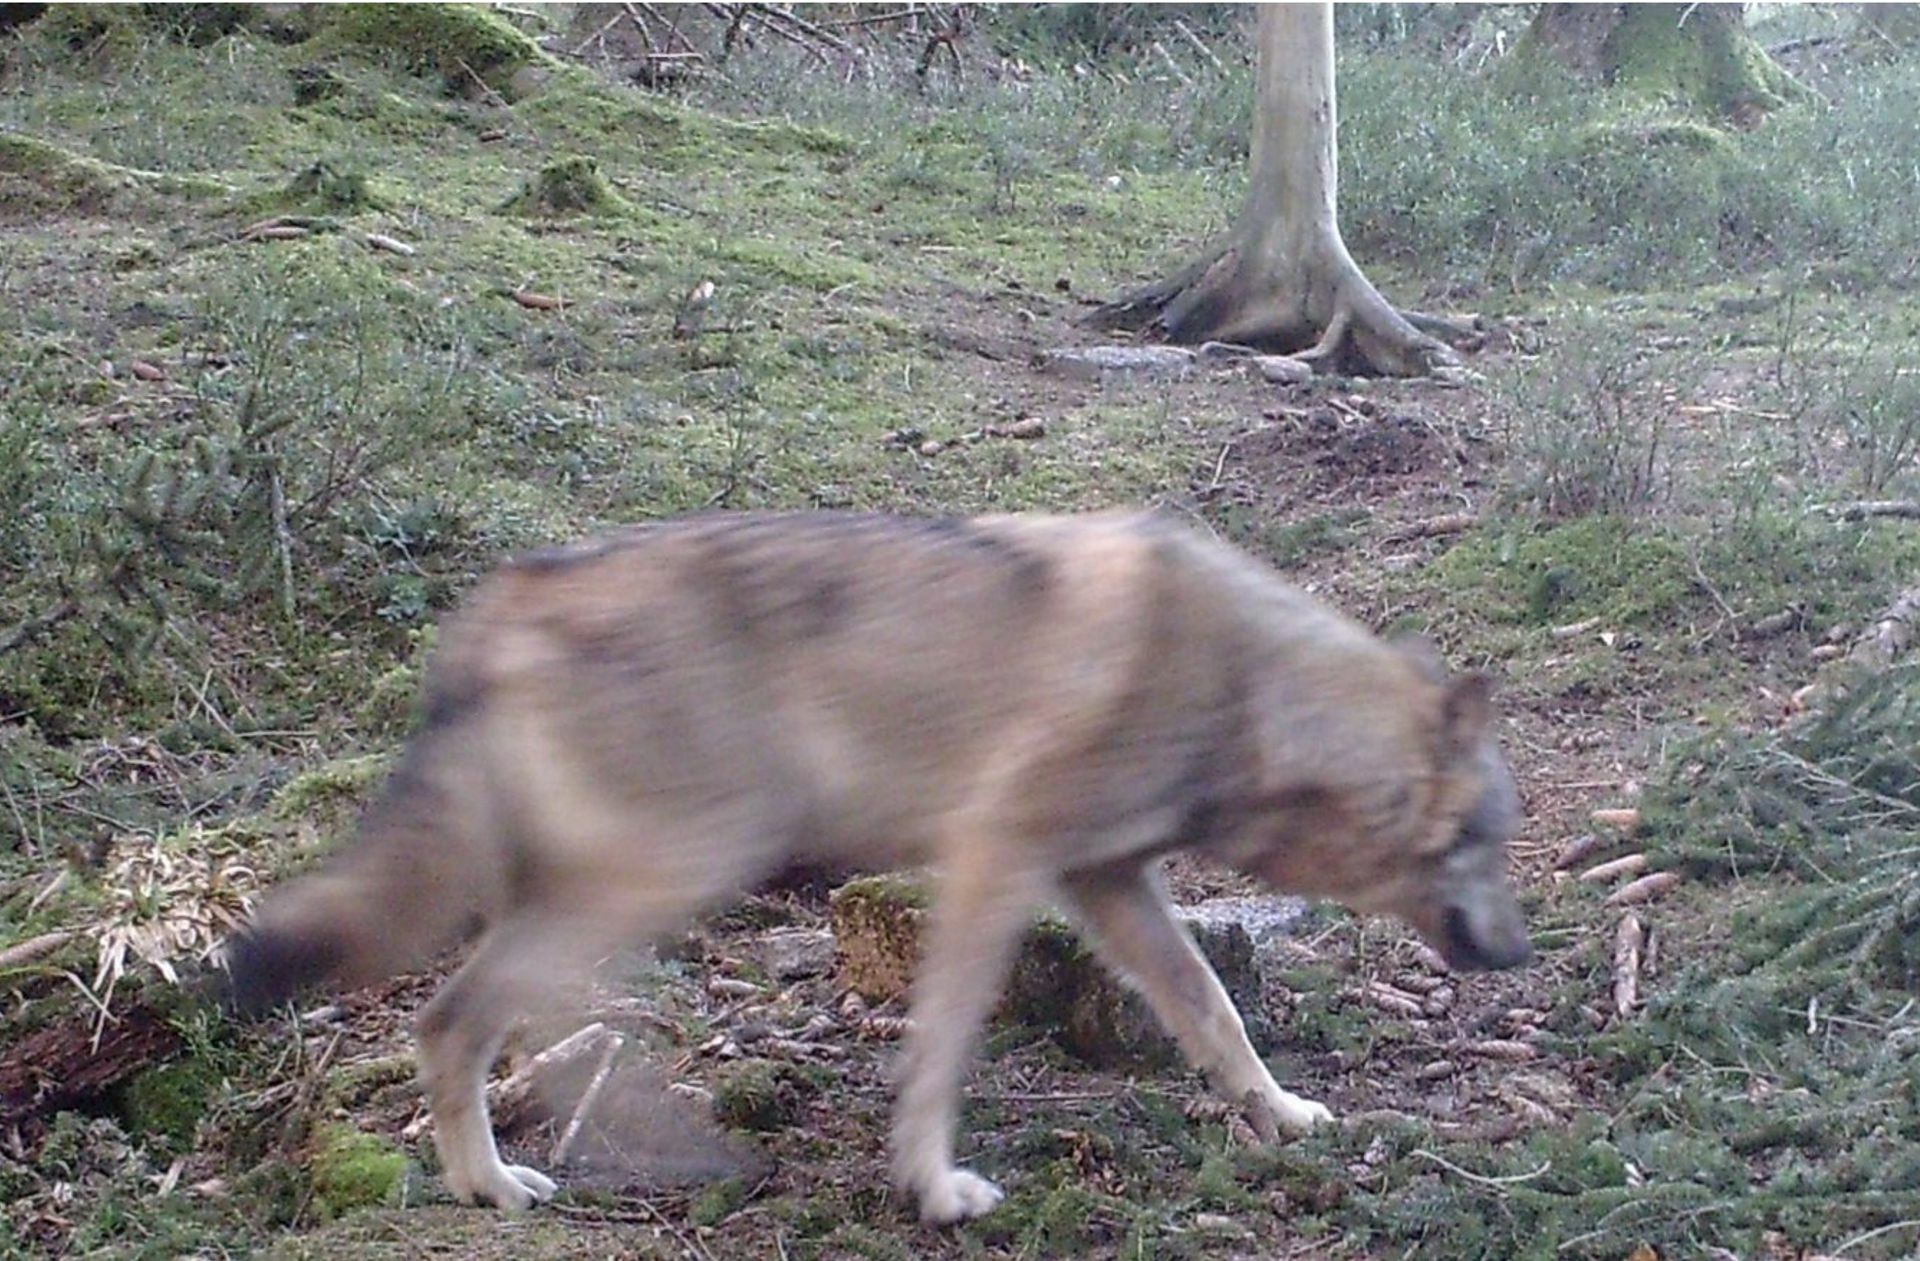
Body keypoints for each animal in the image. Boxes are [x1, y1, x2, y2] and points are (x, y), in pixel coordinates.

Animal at [225, 508, 1531, 1225]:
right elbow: (943, 1046)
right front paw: (934, 1186)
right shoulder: (995, 857)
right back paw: (507, 1185)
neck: (1255, 697)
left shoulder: (1109, 882)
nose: (1519, 953)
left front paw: (1281, 1113)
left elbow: (1213, 1008)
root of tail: (506, 591)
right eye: (1493, 842)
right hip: (679, 866)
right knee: (464, 1019)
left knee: (492, 1020)